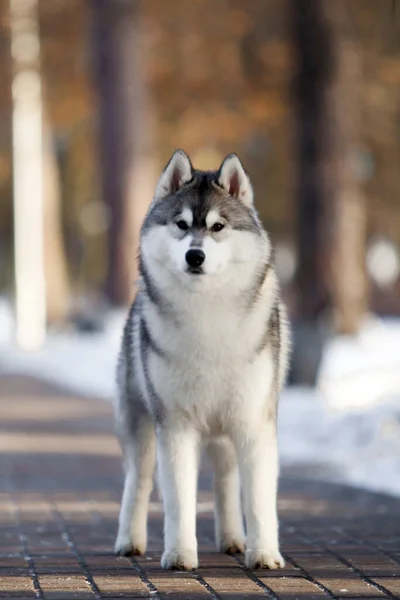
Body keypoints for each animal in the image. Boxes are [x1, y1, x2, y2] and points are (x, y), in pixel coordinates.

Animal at [114, 150, 290, 572]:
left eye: (218, 227)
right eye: (181, 225)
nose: (196, 255)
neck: (207, 314)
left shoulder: (254, 422)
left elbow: (258, 498)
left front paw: (264, 554)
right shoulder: (175, 426)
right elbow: (179, 499)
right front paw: (179, 554)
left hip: (226, 428)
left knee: (226, 480)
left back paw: (233, 539)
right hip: (140, 422)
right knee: (138, 480)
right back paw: (130, 539)